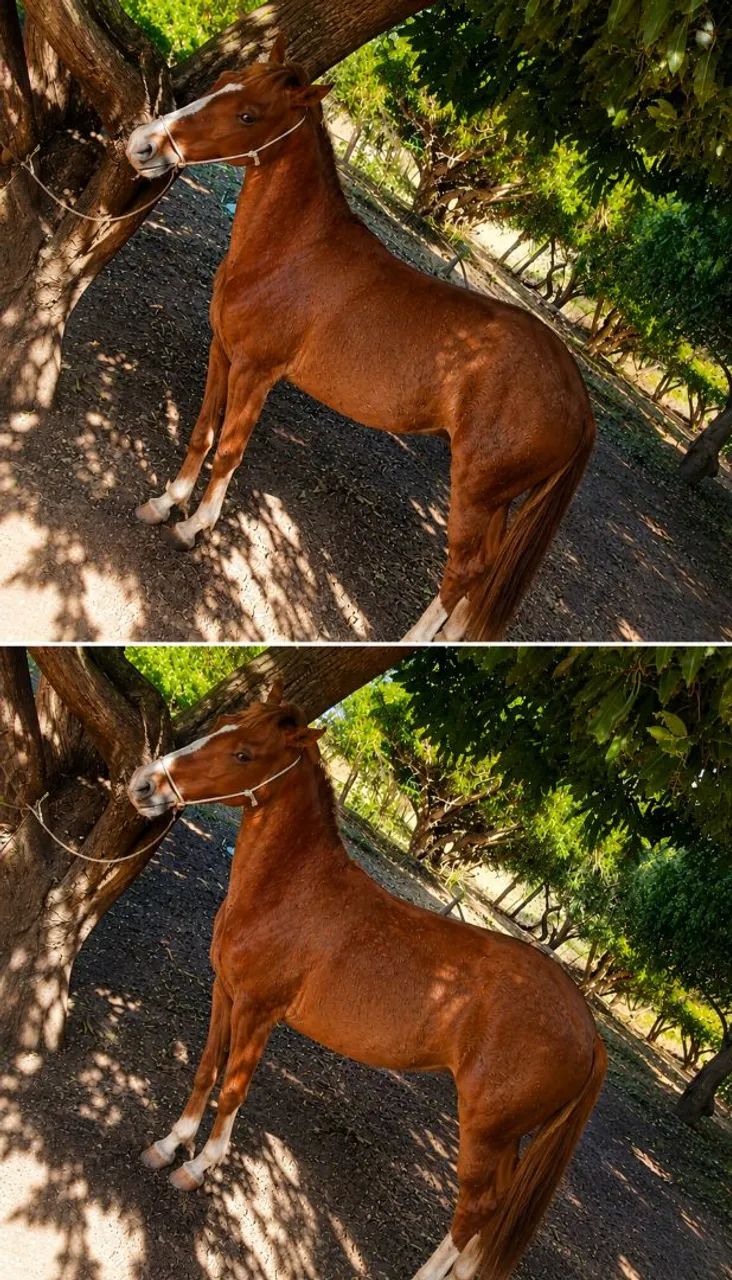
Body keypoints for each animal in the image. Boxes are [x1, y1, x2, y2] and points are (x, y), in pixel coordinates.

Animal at [124, 36, 595, 642]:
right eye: (226, 81)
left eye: (250, 115)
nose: (143, 145)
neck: (293, 251)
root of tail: (579, 402)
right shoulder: (222, 352)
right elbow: (202, 432)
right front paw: (166, 502)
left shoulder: (257, 370)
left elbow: (230, 449)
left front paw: (194, 528)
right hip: (496, 501)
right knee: (484, 572)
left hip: (475, 490)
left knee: (465, 569)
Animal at [127, 682, 606, 1280]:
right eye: (224, 726)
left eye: (244, 754)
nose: (143, 785)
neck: (293, 889)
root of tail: (589, 1032)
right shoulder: (225, 993)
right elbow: (205, 1070)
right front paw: (170, 1144)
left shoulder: (259, 1011)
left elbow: (234, 1088)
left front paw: (199, 1168)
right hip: (506, 1139)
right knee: (490, 1218)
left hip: (486, 1131)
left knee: (478, 1209)